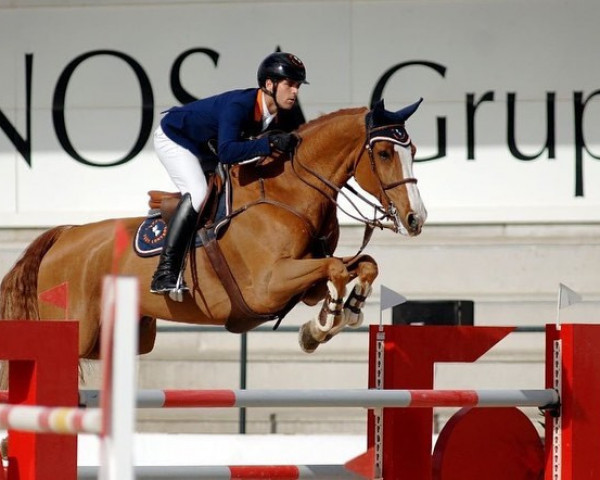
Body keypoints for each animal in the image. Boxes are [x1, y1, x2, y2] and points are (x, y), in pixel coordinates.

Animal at [0, 96, 426, 360]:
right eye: (384, 152)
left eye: (414, 151)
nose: (415, 219)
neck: (288, 194)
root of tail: (64, 236)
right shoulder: (268, 286)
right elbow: (337, 268)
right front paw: (324, 324)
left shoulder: (304, 284)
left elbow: (362, 264)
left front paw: (338, 316)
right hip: (76, 329)